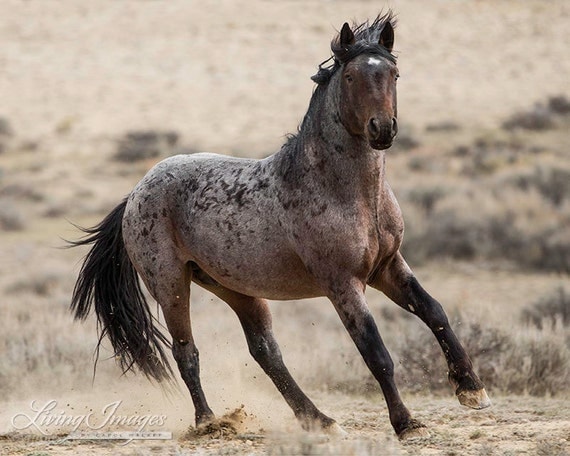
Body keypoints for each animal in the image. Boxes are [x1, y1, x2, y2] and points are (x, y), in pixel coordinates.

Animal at [70, 14, 488, 440]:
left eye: (394, 73)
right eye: (351, 75)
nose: (382, 128)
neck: (345, 192)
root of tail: (136, 192)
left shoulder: (388, 267)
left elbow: (434, 311)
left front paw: (472, 390)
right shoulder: (342, 283)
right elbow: (375, 352)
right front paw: (407, 424)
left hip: (235, 288)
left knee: (265, 352)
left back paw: (319, 420)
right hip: (170, 283)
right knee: (186, 351)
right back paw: (210, 422)